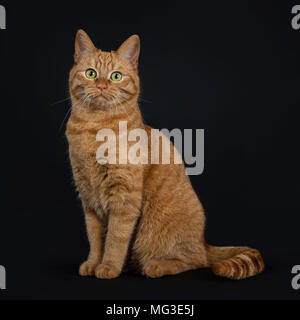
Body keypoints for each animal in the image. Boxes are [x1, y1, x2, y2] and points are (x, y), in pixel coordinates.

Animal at [65, 30, 262, 280]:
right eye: (91, 73)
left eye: (116, 76)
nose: (101, 86)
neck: (93, 128)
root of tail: (203, 241)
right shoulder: (88, 197)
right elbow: (95, 239)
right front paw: (92, 263)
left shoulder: (124, 197)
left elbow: (115, 240)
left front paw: (108, 266)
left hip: (156, 231)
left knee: (195, 260)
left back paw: (155, 266)